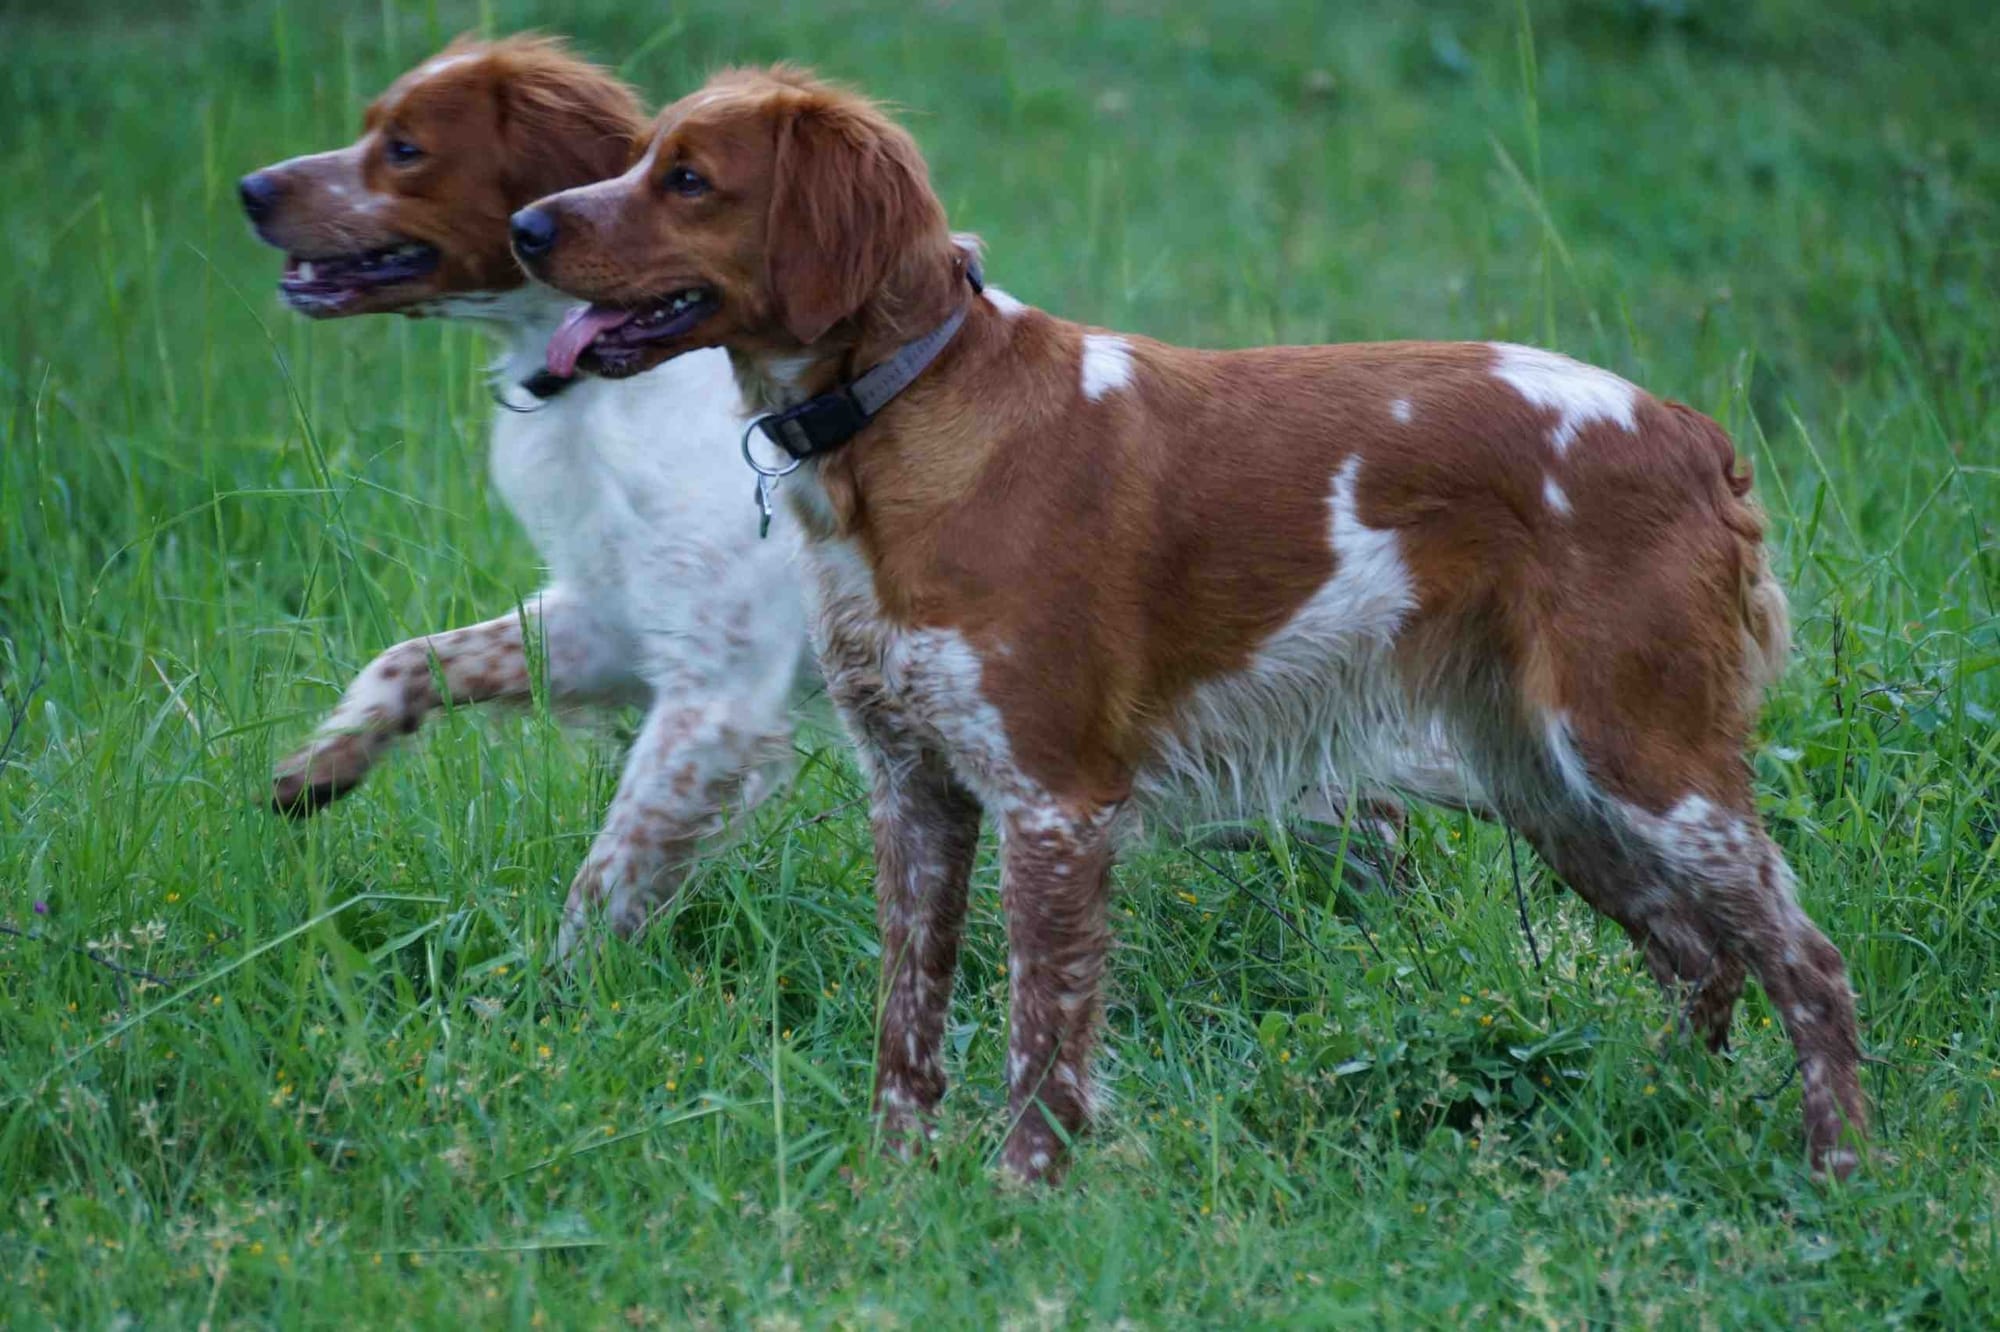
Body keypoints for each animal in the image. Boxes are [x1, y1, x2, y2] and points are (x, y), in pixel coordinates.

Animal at [508, 67, 1864, 1176]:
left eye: (688, 178)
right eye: (642, 155)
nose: (523, 227)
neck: (899, 421)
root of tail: (1689, 433)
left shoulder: (1054, 802)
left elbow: (1040, 1037)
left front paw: (1020, 1198)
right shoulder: (916, 788)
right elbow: (909, 1022)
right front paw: (891, 1191)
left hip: (1643, 759)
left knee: (1804, 960)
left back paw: (1835, 1173)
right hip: (1545, 782)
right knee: (1699, 958)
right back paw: (1651, 1113)